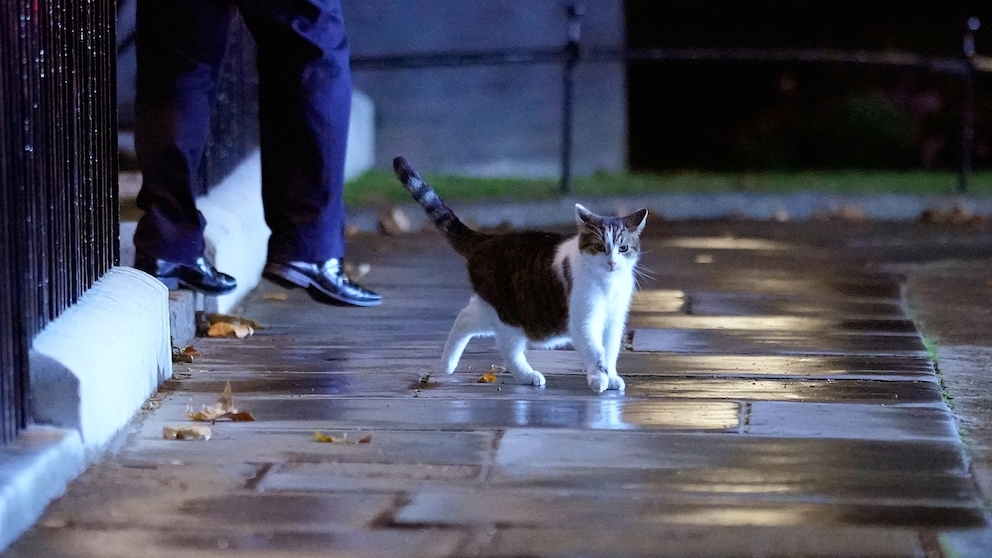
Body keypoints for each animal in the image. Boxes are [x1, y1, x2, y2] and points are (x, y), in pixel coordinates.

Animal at [392, 156, 648, 394]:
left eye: (623, 248)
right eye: (599, 247)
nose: (612, 262)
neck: (607, 284)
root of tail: (487, 240)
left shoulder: (614, 320)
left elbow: (610, 351)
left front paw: (611, 376)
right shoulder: (584, 319)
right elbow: (596, 351)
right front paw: (598, 379)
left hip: (498, 311)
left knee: (468, 317)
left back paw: (450, 363)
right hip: (509, 315)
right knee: (501, 342)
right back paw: (521, 374)